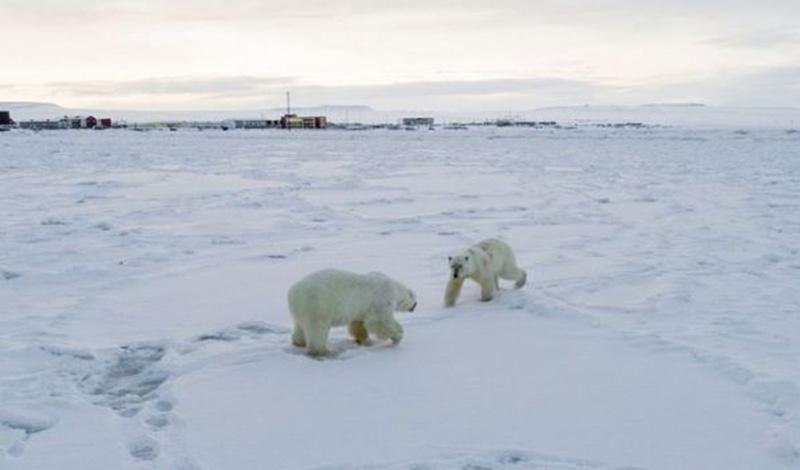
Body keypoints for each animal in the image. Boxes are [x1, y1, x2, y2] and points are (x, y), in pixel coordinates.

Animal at [288, 268, 416, 356]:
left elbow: (358, 323)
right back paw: (325, 351)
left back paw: (299, 342)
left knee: (300, 326)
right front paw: (398, 335)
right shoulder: (382, 299)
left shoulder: (361, 308)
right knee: (317, 328)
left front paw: (365, 340)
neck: (395, 288)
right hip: (318, 305)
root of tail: (293, 292)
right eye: (415, 300)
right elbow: (379, 321)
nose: (415, 306)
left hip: (302, 310)